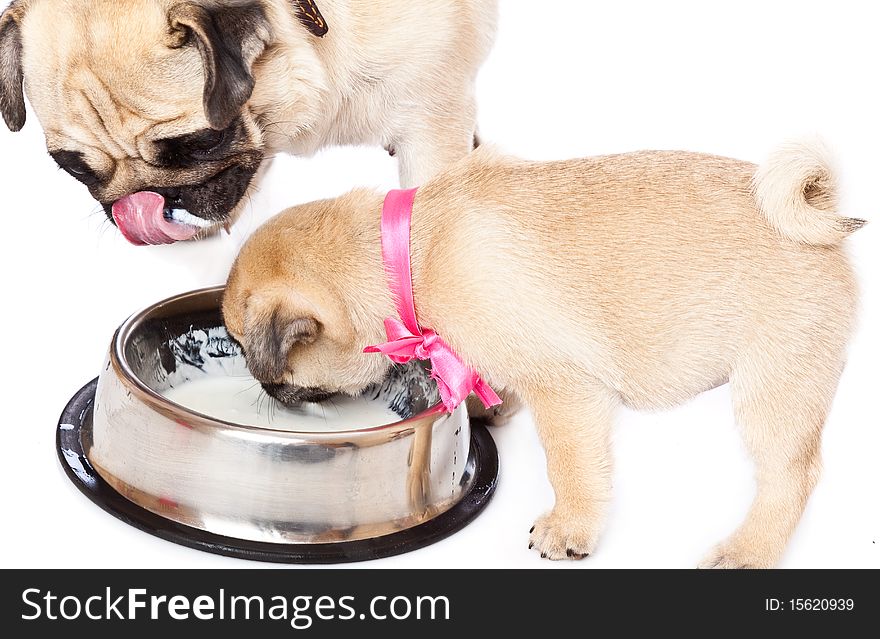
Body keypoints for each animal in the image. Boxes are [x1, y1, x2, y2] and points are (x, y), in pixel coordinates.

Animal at [223, 142, 864, 568]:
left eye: (255, 355)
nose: (262, 388)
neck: (407, 254)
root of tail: (820, 216)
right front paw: (485, 405)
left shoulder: (565, 390)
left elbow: (570, 465)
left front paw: (569, 526)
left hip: (774, 382)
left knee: (791, 475)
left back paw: (748, 550)